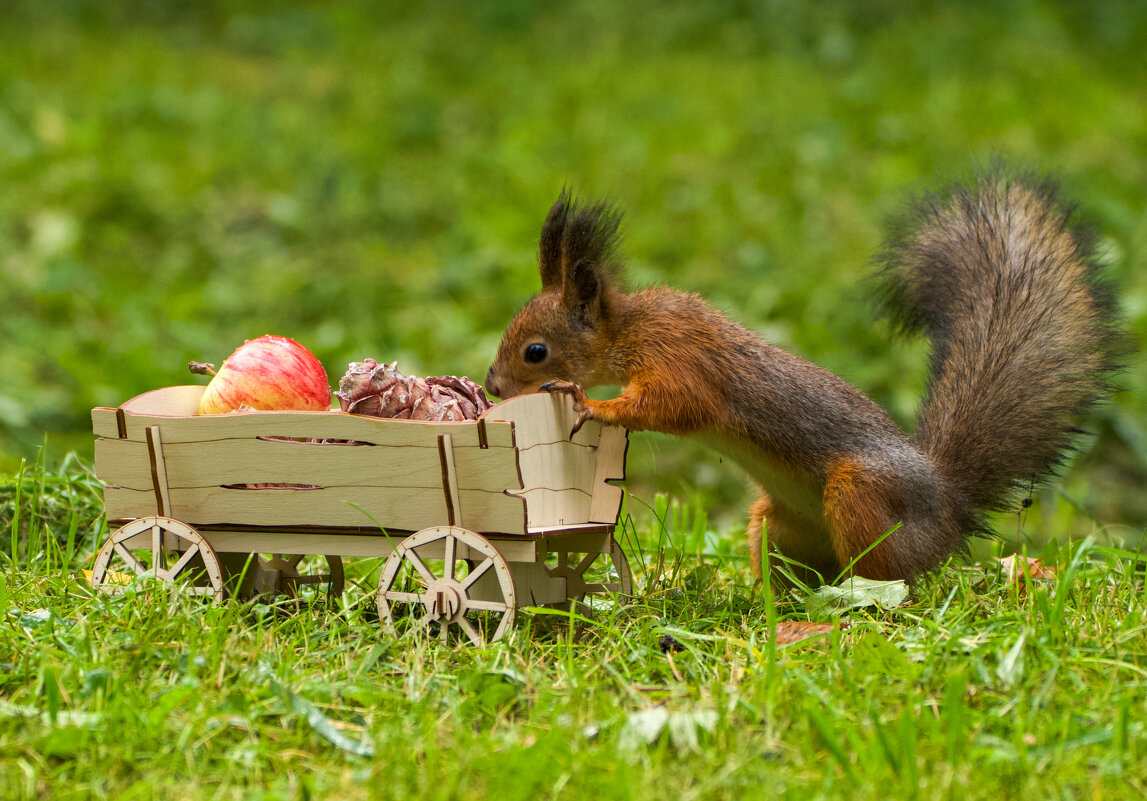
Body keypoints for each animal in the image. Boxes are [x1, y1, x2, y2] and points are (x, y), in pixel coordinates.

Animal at [486, 169, 1128, 580]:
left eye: (536, 351)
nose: (492, 388)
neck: (632, 330)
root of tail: (948, 508)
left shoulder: (683, 361)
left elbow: (678, 407)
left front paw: (588, 404)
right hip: (779, 524)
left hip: (861, 494)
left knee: (894, 580)